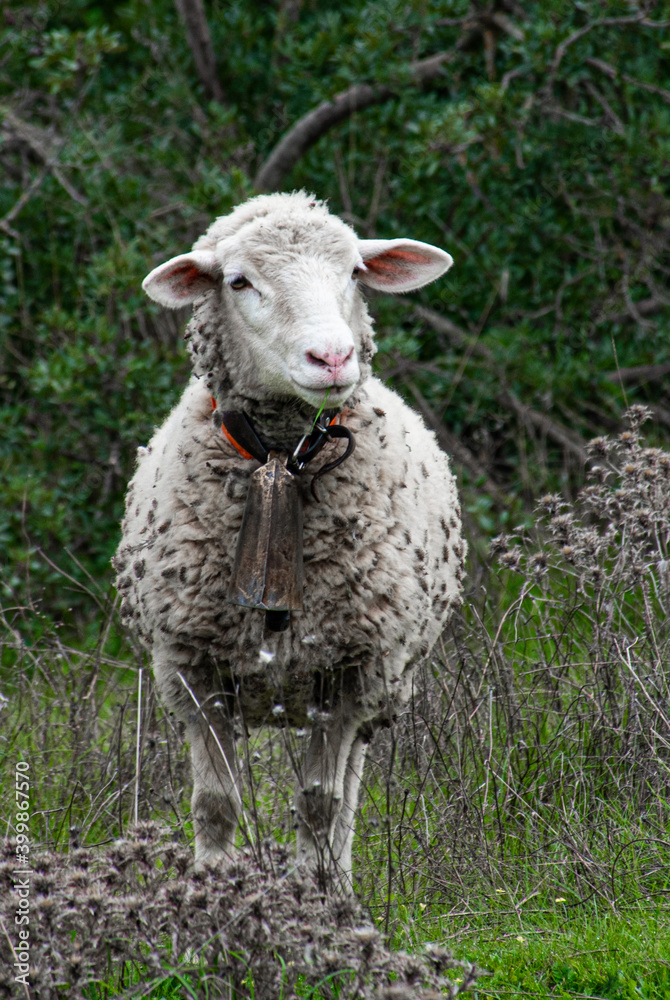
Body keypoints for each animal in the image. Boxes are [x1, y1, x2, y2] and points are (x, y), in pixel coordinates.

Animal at [113, 191, 466, 886]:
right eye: (238, 281)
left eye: (355, 272)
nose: (332, 359)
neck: (282, 457)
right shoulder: (195, 671)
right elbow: (216, 804)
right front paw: (209, 897)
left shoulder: (351, 673)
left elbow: (321, 806)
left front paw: (317, 898)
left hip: (374, 687)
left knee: (346, 795)